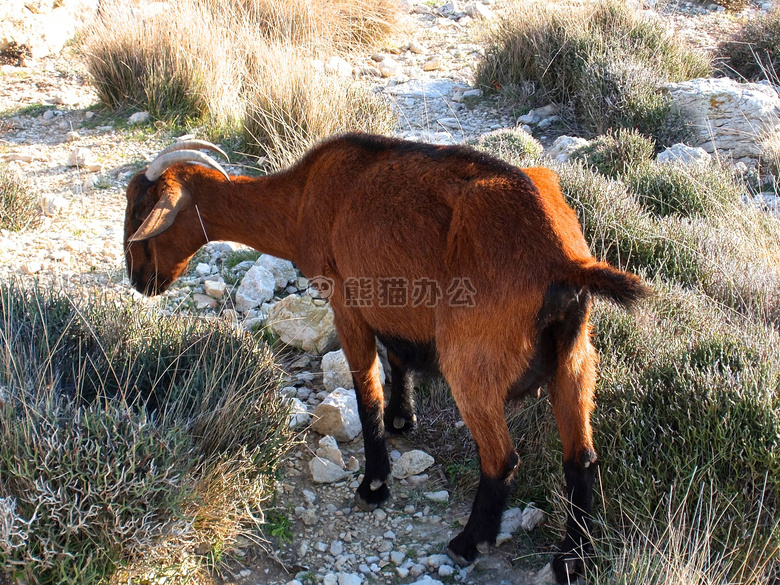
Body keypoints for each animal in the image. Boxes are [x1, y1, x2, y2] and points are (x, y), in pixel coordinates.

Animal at [125, 133, 648, 584]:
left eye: (141, 212)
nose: (138, 280)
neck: (302, 198)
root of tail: (563, 260)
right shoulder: (393, 306)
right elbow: (397, 358)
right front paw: (402, 419)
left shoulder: (347, 303)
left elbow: (365, 393)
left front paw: (374, 484)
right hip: (575, 360)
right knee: (581, 459)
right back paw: (570, 560)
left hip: (472, 361)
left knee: (502, 458)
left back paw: (468, 543)